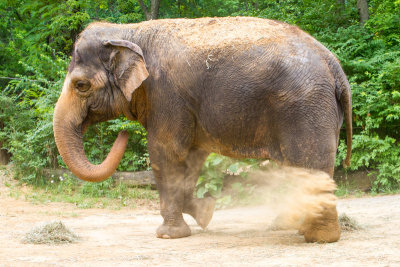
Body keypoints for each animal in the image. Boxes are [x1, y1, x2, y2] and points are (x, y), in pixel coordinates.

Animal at [52, 16, 350, 243]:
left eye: (81, 85)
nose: (122, 134)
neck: (128, 31)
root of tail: (333, 63)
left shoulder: (165, 95)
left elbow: (166, 153)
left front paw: (168, 235)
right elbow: (193, 157)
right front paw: (207, 211)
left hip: (305, 108)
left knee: (309, 162)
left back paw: (318, 237)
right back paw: (290, 226)